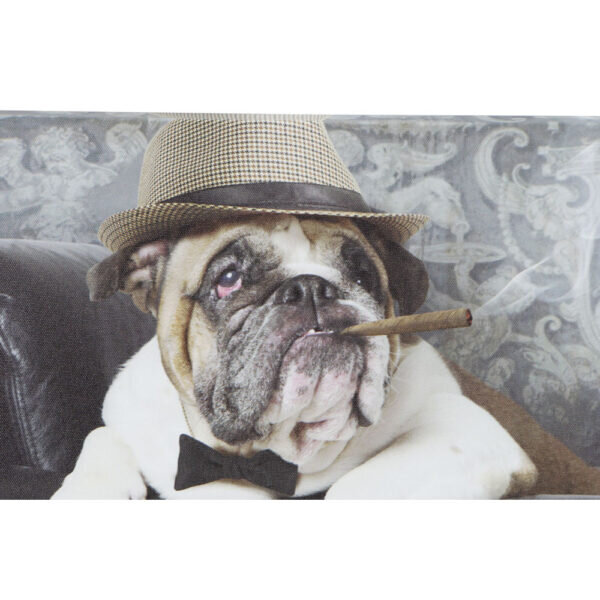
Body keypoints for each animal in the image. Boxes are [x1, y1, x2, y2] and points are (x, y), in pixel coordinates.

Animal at [52, 214, 539, 499]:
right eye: (228, 278)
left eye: (363, 274)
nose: (311, 287)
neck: (257, 457)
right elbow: (100, 437)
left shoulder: (465, 428)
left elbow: (352, 489)